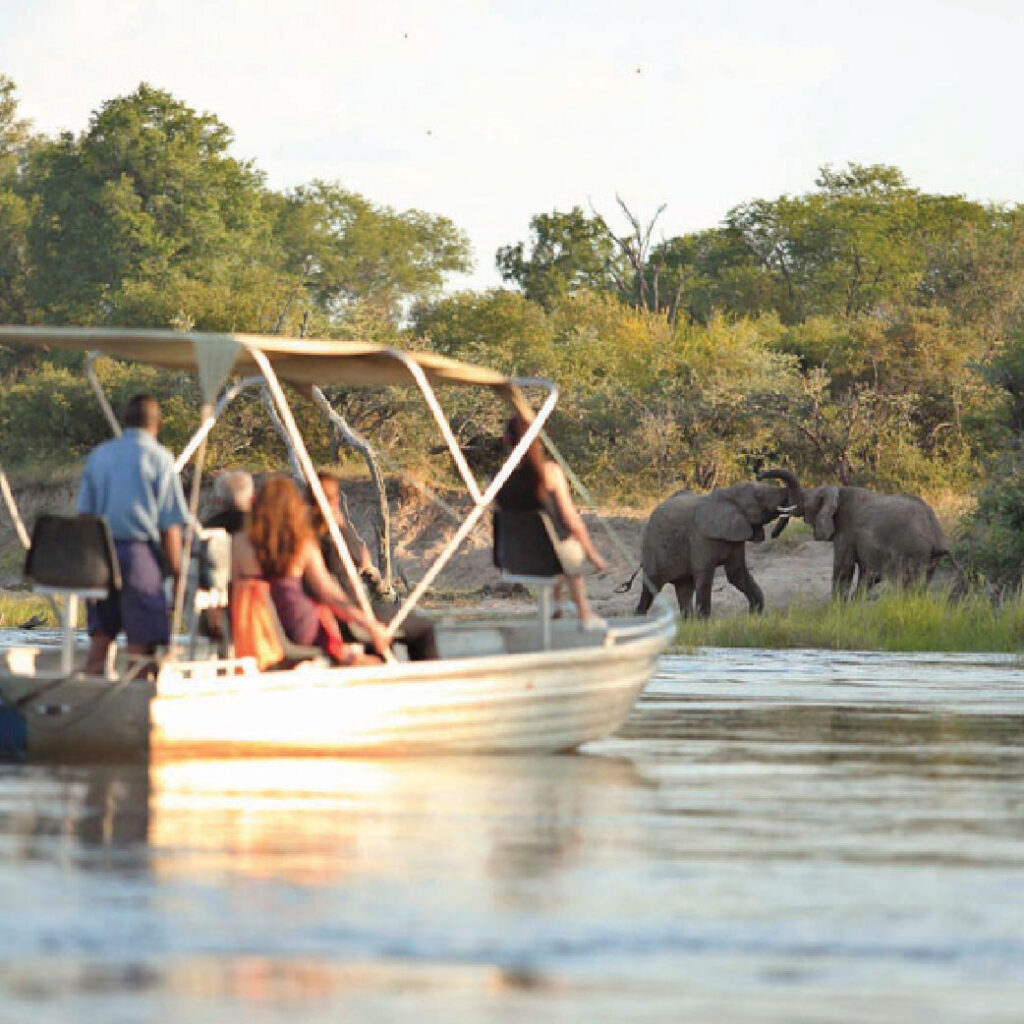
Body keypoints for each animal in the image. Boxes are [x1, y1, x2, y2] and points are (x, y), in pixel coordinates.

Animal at [632, 482, 796, 617]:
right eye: (758, 495)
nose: (774, 534)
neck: (728, 495)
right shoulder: (700, 537)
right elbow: (704, 574)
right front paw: (703, 623)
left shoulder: (735, 537)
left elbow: (737, 574)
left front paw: (755, 614)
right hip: (651, 547)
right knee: (651, 587)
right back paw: (639, 618)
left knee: (684, 588)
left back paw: (687, 623)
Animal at [756, 468, 955, 598]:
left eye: (806, 501)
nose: (758, 476)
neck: (837, 491)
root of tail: (936, 533)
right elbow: (866, 576)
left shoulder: (846, 533)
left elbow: (844, 569)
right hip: (929, 559)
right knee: (922, 584)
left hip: (912, 552)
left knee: (906, 585)